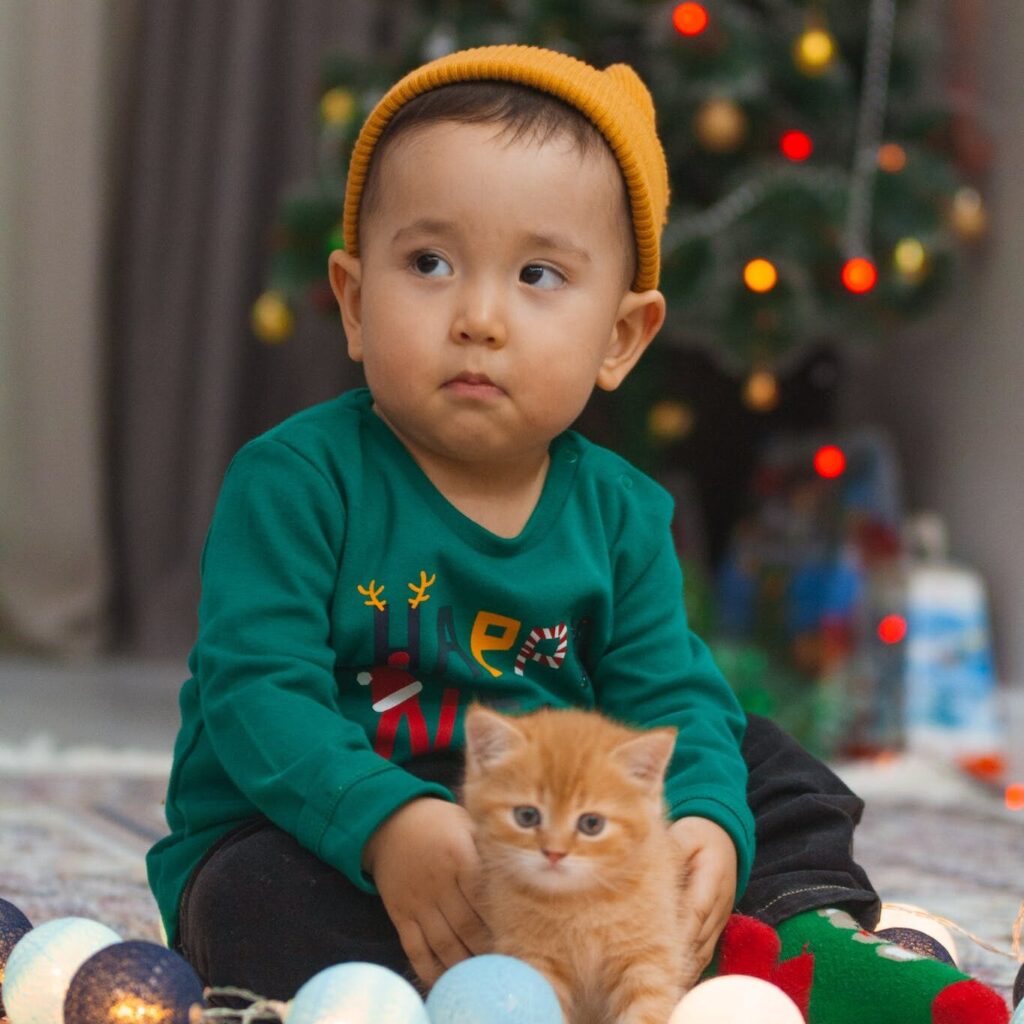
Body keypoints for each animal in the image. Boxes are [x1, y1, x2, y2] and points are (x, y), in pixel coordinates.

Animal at [462, 704, 696, 1024]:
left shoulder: (648, 956)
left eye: (591, 824)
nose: (554, 853)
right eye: (526, 816)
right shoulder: (532, 957)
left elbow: (648, 1009)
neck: (579, 904)